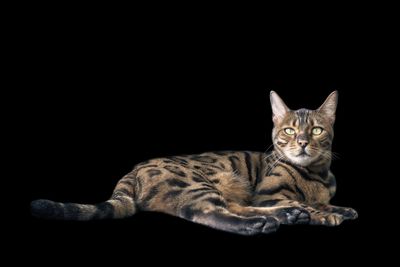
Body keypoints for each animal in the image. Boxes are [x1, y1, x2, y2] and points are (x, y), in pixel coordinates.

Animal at [30, 91, 356, 236]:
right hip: (197, 183)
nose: (302, 141)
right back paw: (262, 223)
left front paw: (338, 209)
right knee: (208, 212)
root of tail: (131, 172)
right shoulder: (266, 195)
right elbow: (308, 203)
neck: (316, 174)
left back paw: (288, 216)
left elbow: (320, 202)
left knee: (232, 205)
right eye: (289, 130)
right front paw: (323, 214)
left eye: (316, 130)